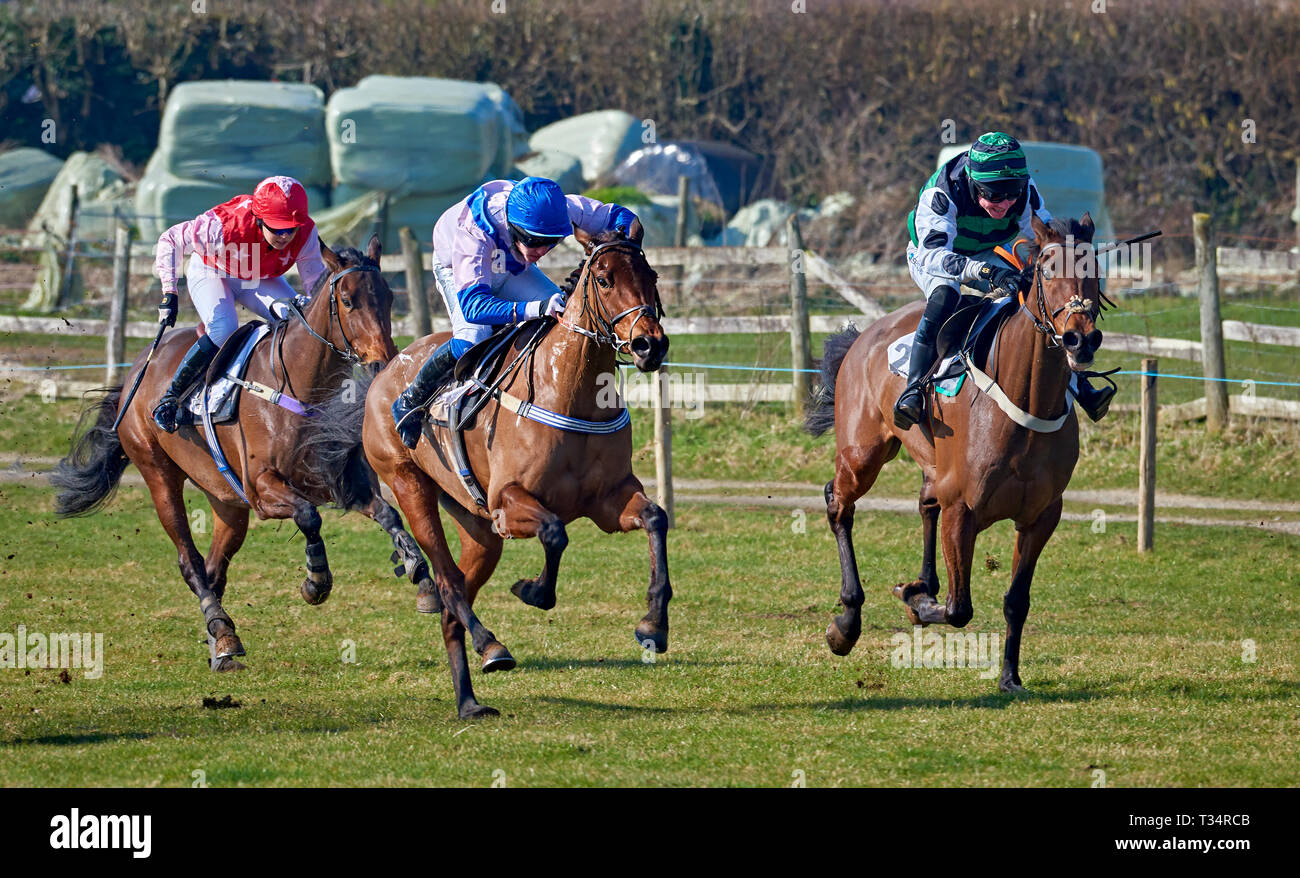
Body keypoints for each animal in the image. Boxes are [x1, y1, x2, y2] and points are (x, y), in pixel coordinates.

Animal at [52, 240, 431, 671]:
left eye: (387, 296)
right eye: (348, 300)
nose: (383, 362)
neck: (298, 383)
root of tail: (136, 370)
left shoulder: (339, 480)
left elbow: (388, 514)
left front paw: (422, 577)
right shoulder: (263, 489)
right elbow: (309, 516)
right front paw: (315, 580)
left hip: (227, 500)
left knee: (214, 569)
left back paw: (221, 639)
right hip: (158, 473)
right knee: (191, 562)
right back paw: (223, 634)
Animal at [364, 223, 670, 718]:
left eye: (652, 276)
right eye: (605, 280)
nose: (650, 344)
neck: (568, 390)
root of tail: (385, 370)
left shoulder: (609, 499)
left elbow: (655, 518)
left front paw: (653, 626)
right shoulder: (508, 504)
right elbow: (555, 532)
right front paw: (534, 591)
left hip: (477, 526)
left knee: (454, 604)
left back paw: (469, 701)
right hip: (409, 486)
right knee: (447, 583)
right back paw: (491, 645)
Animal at [806, 214, 1102, 691]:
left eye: (1096, 268)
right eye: (1044, 268)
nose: (1081, 339)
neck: (1026, 403)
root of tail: (863, 336)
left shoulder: (1041, 516)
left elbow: (1017, 600)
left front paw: (1009, 677)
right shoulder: (962, 509)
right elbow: (958, 608)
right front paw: (915, 600)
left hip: (929, 461)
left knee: (925, 503)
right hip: (862, 454)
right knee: (839, 504)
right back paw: (847, 624)